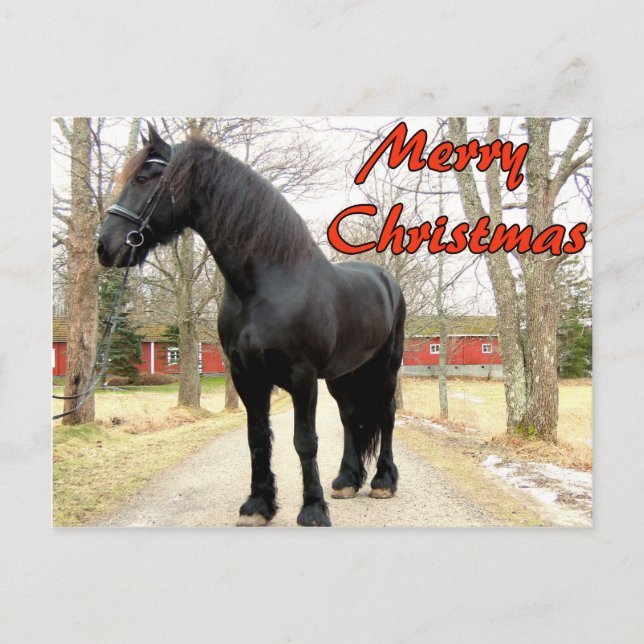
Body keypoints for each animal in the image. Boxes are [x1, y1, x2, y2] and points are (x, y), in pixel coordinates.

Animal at [97, 123, 406, 527]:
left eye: (143, 178)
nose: (105, 247)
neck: (265, 286)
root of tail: (386, 281)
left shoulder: (302, 377)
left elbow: (304, 441)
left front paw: (312, 510)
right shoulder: (246, 375)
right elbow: (257, 439)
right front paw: (258, 505)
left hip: (385, 368)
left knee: (386, 416)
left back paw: (384, 481)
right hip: (343, 373)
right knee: (350, 417)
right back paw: (347, 481)